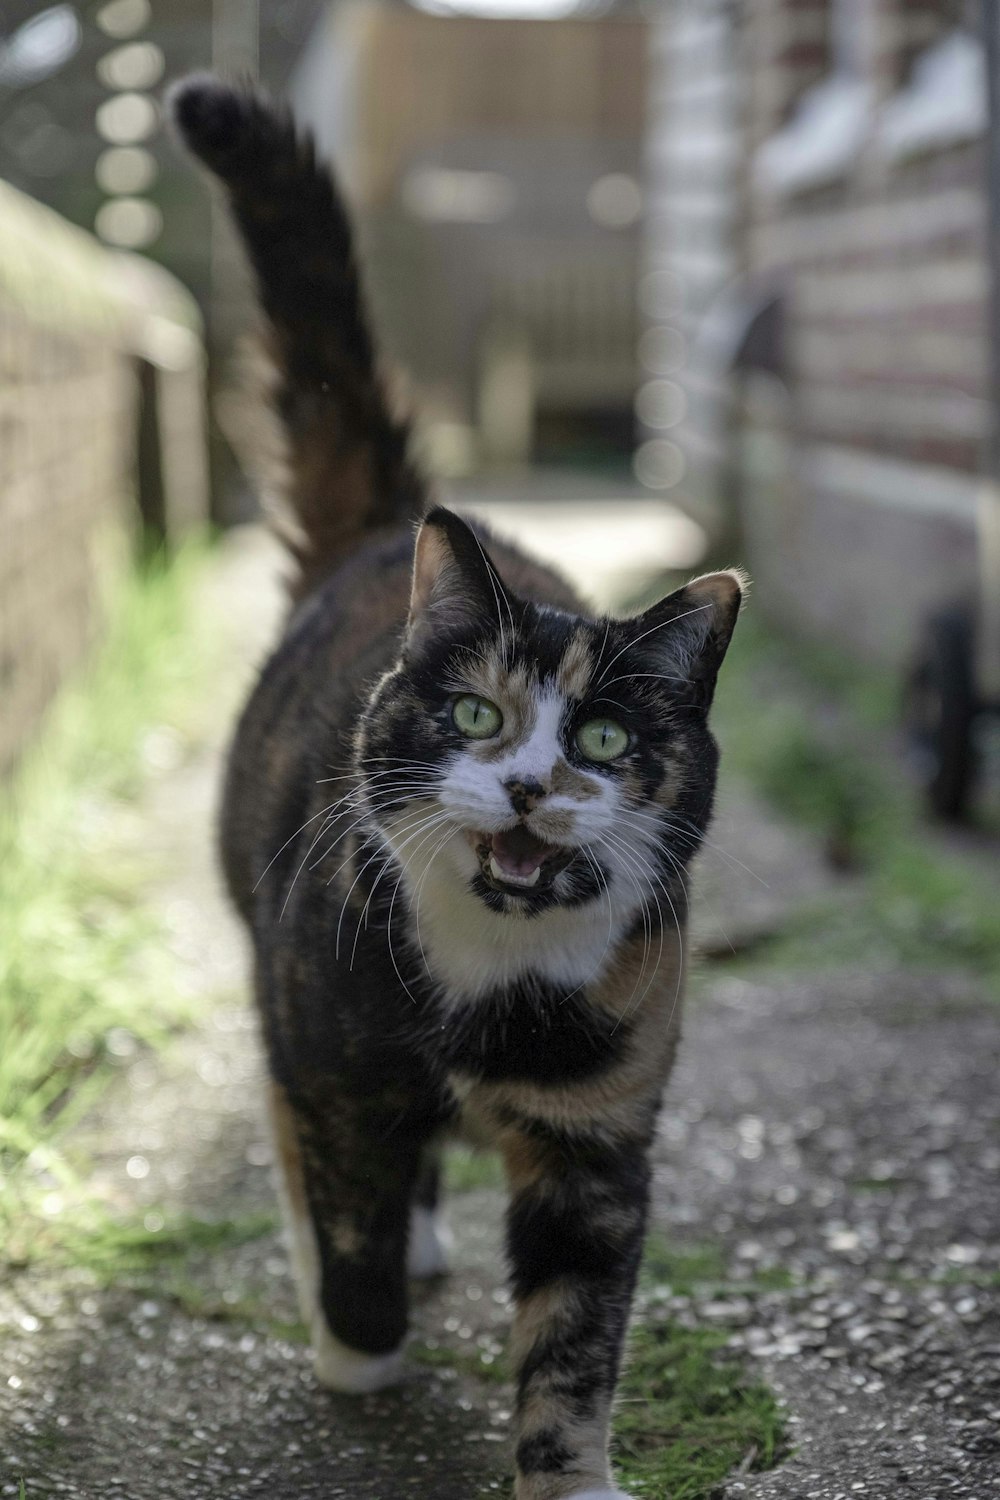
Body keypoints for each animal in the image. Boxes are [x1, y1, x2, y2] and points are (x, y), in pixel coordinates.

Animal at [172, 76, 746, 1500]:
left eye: (605, 738)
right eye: (478, 715)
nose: (535, 781)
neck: (496, 982)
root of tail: (390, 530)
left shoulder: (600, 1144)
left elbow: (575, 1339)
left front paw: (571, 1476)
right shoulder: (333, 1063)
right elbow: (351, 1218)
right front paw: (357, 1350)